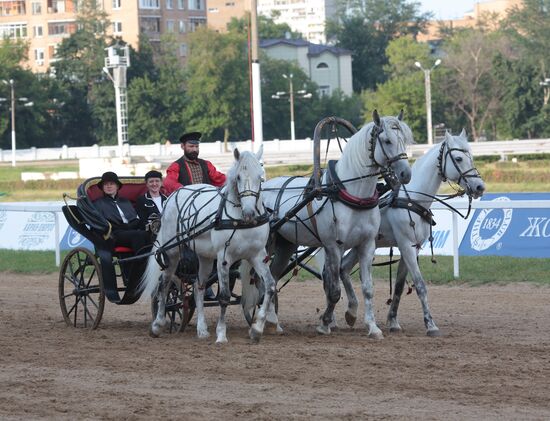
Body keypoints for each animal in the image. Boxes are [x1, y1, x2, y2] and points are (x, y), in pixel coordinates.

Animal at [140, 146, 278, 342]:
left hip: (204, 257)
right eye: (238, 177)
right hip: (172, 253)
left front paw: (257, 329)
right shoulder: (224, 258)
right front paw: (221, 334)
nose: (249, 212)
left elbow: (270, 287)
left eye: (261, 177)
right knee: (164, 285)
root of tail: (172, 197)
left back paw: (202, 329)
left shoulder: (257, 256)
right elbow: (224, 297)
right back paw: (158, 325)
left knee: (198, 288)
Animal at [246, 111, 414, 338]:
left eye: (404, 139)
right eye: (387, 141)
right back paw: (263, 320)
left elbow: (368, 288)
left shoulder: (367, 244)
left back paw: (272, 321)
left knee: (272, 276)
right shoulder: (334, 246)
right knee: (262, 280)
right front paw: (325, 323)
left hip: (286, 245)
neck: (351, 193)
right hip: (267, 245)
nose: (406, 174)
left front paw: (372, 327)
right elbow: (334, 290)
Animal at [340, 128, 488, 334]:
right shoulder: (406, 245)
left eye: (471, 157)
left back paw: (351, 312)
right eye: (458, 158)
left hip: (361, 245)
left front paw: (393, 321)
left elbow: (400, 286)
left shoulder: (412, 247)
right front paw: (430, 324)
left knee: (343, 268)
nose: (480, 187)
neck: (412, 199)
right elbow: (420, 285)